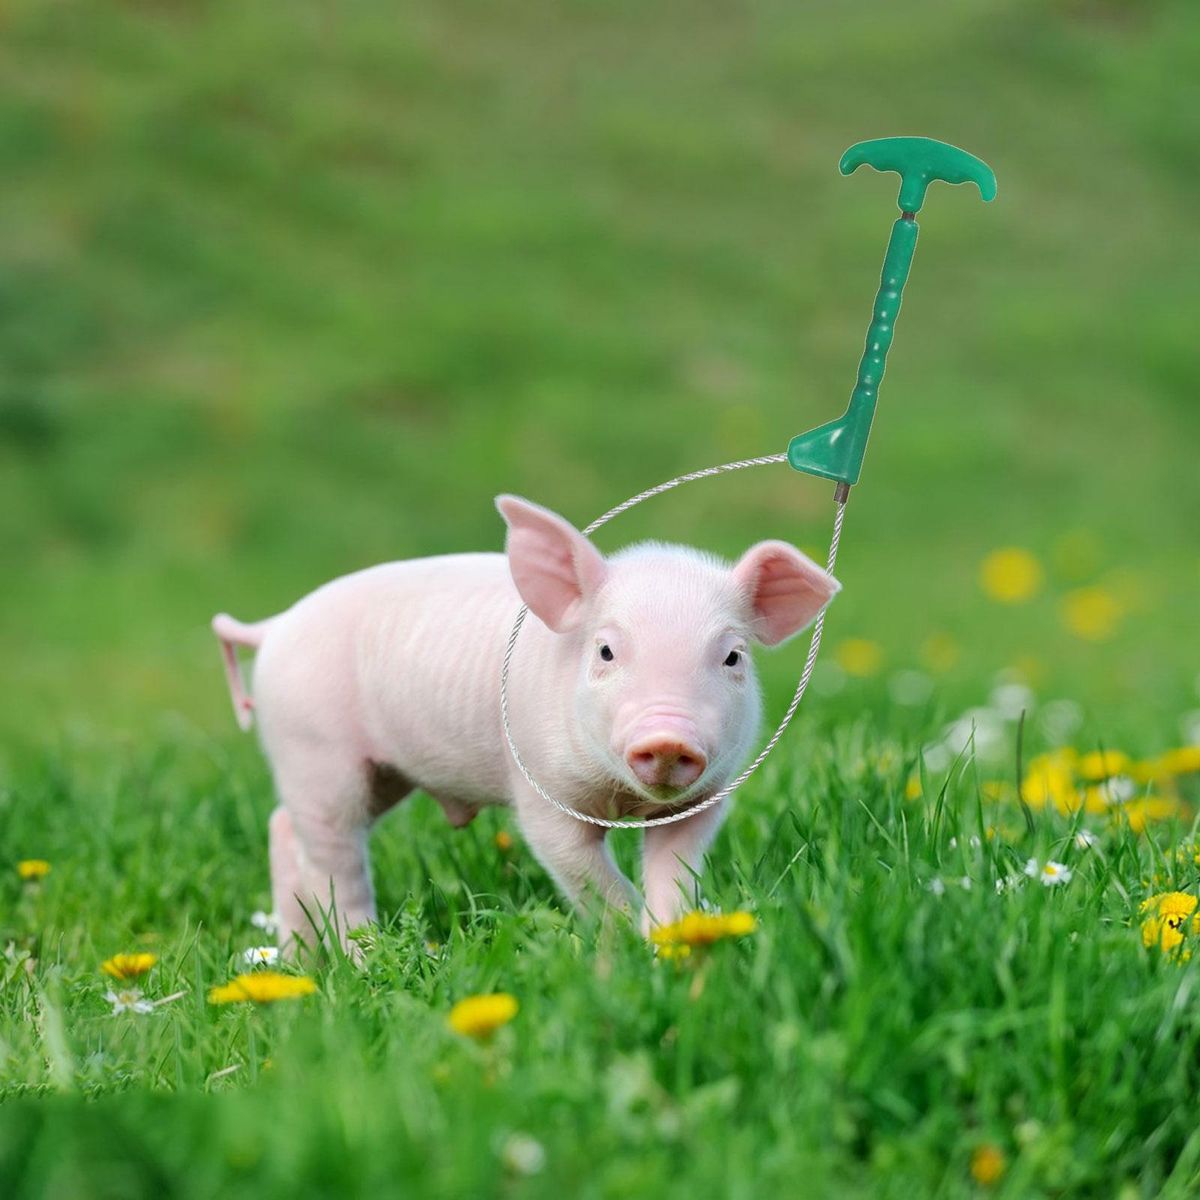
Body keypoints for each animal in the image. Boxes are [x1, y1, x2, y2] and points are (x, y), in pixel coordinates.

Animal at [212, 495, 839, 952]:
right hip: (313, 750)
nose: (667, 737)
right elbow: (588, 876)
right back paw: (362, 956)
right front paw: (625, 952)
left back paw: (298, 964)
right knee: (332, 859)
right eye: (606, 651)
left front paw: (672, 943)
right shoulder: (541, 792)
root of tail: (274, 626)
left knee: (285, 830)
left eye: (732, 656)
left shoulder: (706, 797)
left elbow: (674, 872)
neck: (621, 799)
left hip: (377, 771)